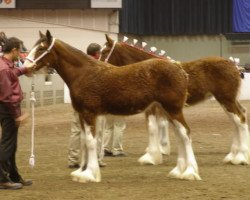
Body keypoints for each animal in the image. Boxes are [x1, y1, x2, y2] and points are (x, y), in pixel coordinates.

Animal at [23, 30, 201, 182]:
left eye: (41, 48)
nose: (25, 67)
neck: (83, 73)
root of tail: (179, 69)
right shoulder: (81, 114)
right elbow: (84, 141)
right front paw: (81, 171)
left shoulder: (89, 113)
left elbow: (90, 141)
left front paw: (89, 174)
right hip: (167, 110)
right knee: (179, 134)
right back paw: (179, 171)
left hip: (173, 109)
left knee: (185, 133)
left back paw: (190, 172)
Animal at [100, 34, 250, 166]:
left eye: (105, 51)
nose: (101, 68)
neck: (148, 72)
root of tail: (234, 66)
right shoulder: (158, 107)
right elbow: (158, 125)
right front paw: (157, 153)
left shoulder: (153, 107)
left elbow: (153, 127)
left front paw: (152, 156)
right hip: (228, 100)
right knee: (239, 119)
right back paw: (233, 156)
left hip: (226, 99)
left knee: (240, 119)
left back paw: (241, 158)